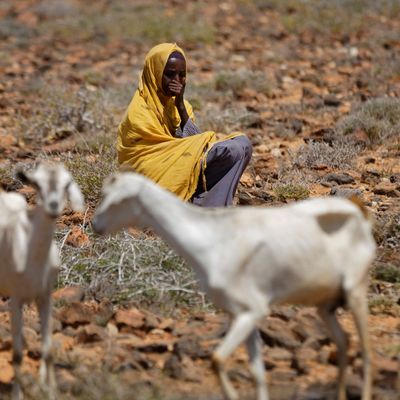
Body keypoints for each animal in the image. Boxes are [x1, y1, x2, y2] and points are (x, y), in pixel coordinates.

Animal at [0, 162, 84, 400]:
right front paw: (17, 395)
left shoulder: (44, 297)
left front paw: (50, 392)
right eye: (36, 184)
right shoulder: (15, 300)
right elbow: (17, 354)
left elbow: (48, 350)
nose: (53, 206)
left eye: (66, 184)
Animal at [92, 171, 376, 400]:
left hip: (356, 292)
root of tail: (359, 216)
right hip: (325, 305)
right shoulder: (239, 314)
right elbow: (256, 371)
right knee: (344, 341)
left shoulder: (252, 311)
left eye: (118, 199)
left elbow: (217, 359)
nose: (96, 225)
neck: (213, 239)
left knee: (365, 349)